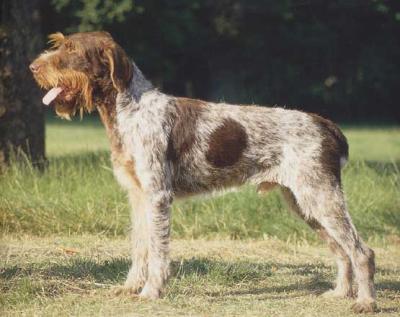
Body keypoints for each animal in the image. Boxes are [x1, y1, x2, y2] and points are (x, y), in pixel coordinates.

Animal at [29, 30, 376, 312]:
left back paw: (365, 301)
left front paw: (151, 291)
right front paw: (130, 287)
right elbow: (140, 246)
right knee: (341, 250)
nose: (33, 67)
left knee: (361, 251)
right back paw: (341, 293)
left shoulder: (158, 196)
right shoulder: (138, 196)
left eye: (71, 48)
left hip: (321, 196)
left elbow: (157, 250)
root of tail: (326, 124)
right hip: (305, 203)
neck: (129, 111)